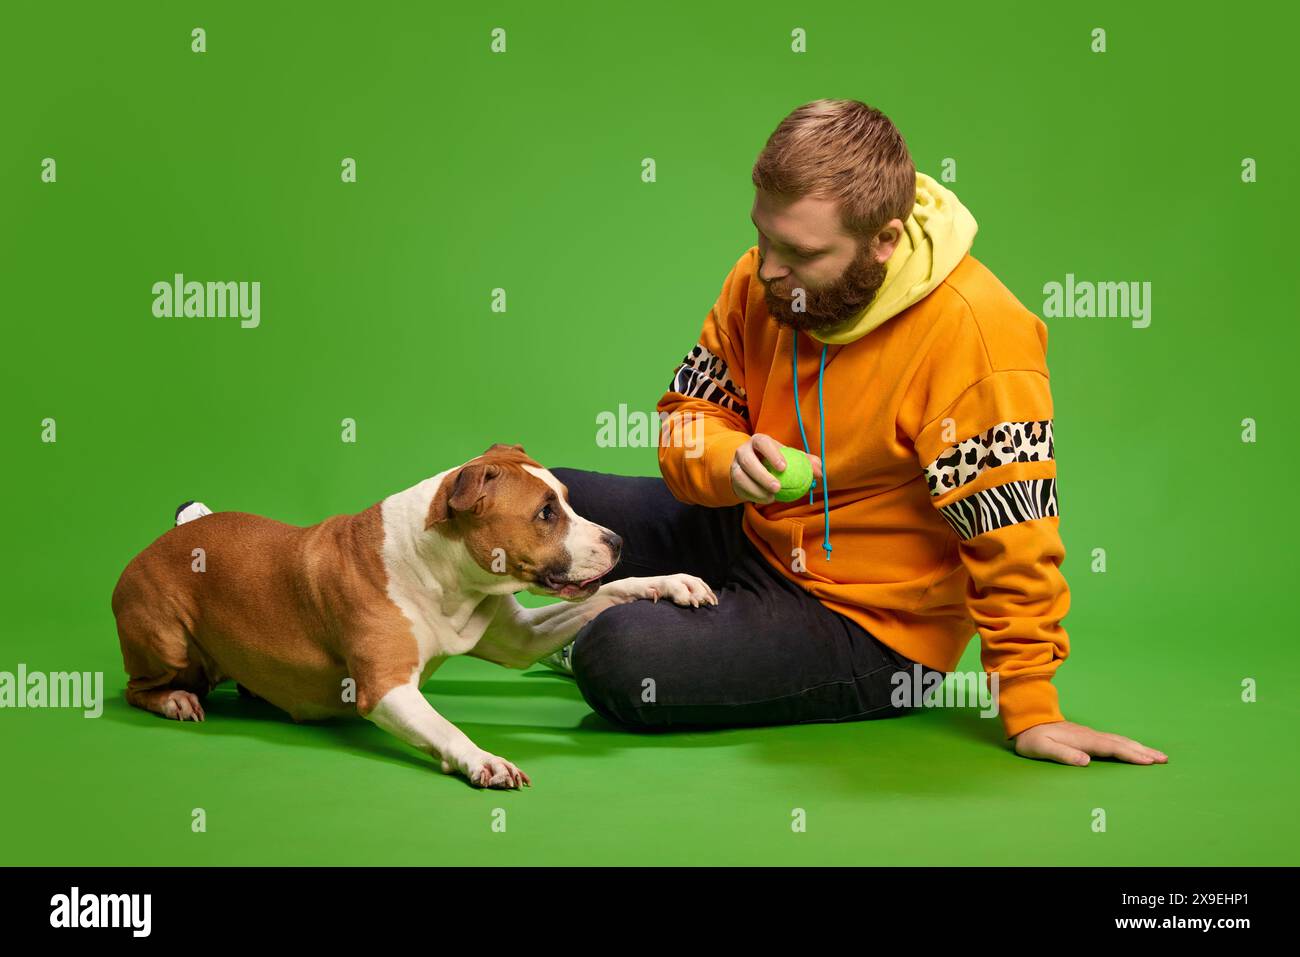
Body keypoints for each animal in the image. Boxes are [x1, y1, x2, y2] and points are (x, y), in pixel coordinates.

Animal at [111, 444, 717, 790]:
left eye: (566, 500)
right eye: (546, 513)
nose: (616, 541)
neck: (446, 575)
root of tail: (158, 542)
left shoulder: (519, 639)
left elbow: (603, 594)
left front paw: (671, 582)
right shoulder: (387, 688)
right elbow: (445, 727)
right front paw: (483, 760)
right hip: (165, 636)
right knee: (139, 686)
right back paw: (175, 700)